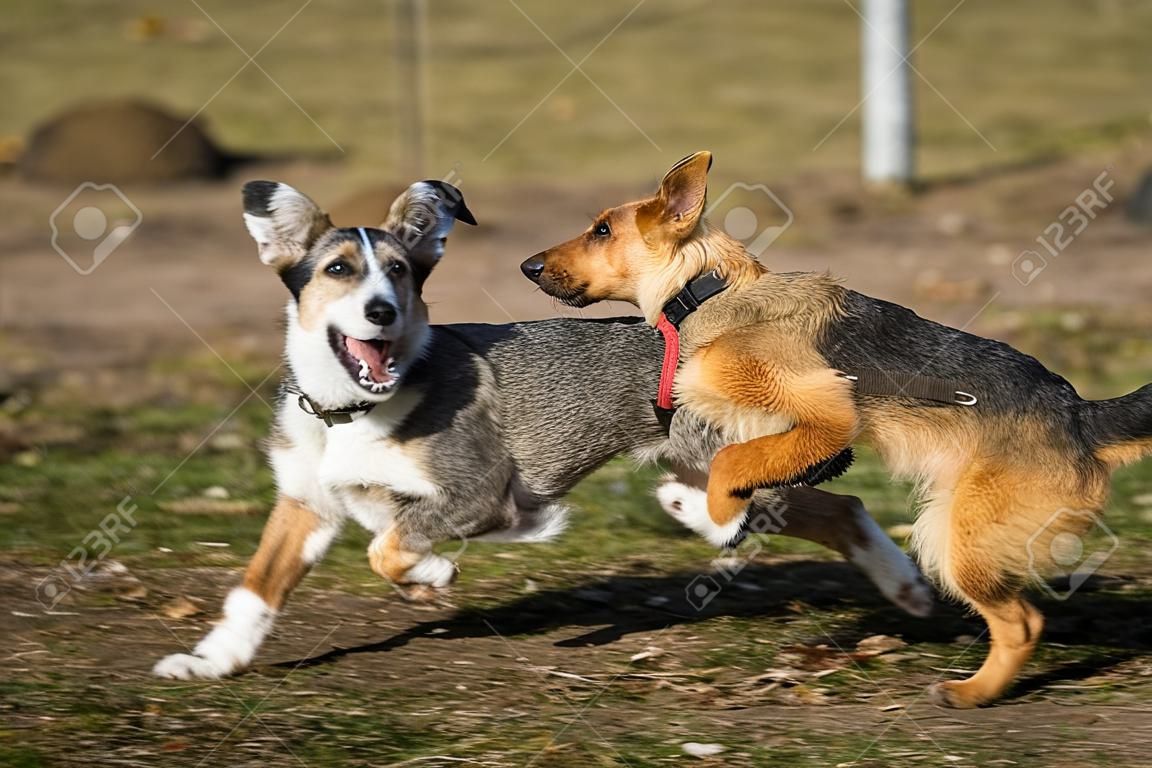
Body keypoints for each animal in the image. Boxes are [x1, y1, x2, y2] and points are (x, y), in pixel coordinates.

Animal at [523, 149, 1152, 709]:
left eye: (602, 230)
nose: (527, 267)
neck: (705, 292)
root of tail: (1079, 414)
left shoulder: (829, 414)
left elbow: (732, 465)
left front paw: (719, 518)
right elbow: (749, 462)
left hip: (958, 536)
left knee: (1022, 622)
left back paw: (972, 693)